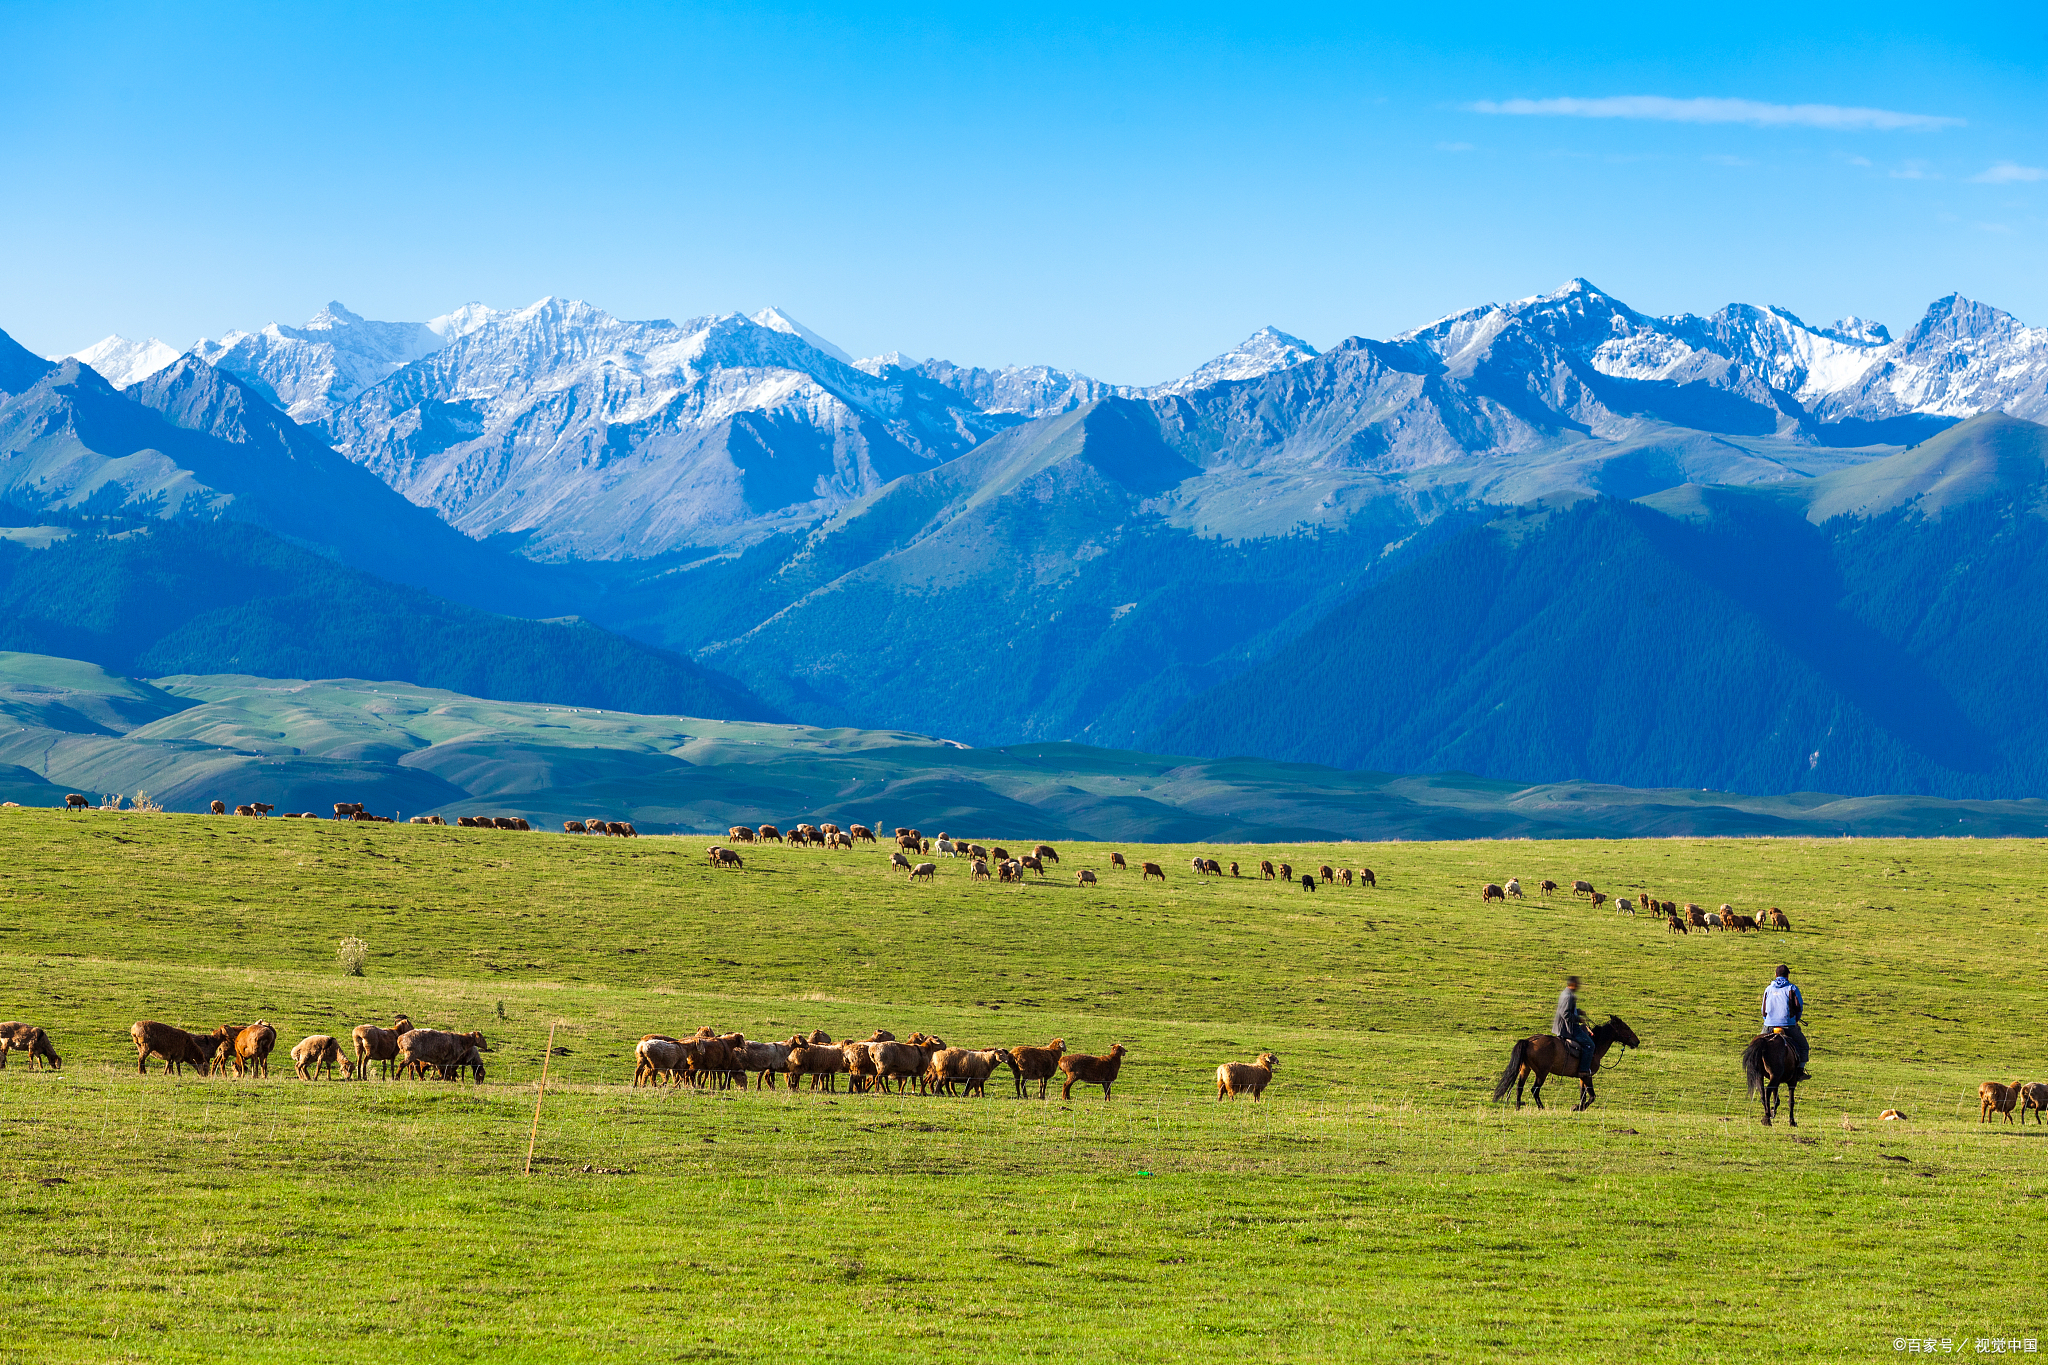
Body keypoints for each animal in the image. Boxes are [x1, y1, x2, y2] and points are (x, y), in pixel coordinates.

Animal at [1490, 1015, 1646, 1113]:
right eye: (1626, 1028)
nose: (1637, 1041)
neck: (1595, 1045)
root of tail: (1529, 1041)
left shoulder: (1582, 1076)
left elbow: (1583, 1094)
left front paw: (1579, 1107)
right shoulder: (1588, 1076)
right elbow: (1592, 1096)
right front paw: (1578, 1108)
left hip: (1525, 1069)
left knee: (1519, 1088)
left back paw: (1518, 1107)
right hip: (1542, 1072)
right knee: (1534, 1089)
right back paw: (1541, 1107)